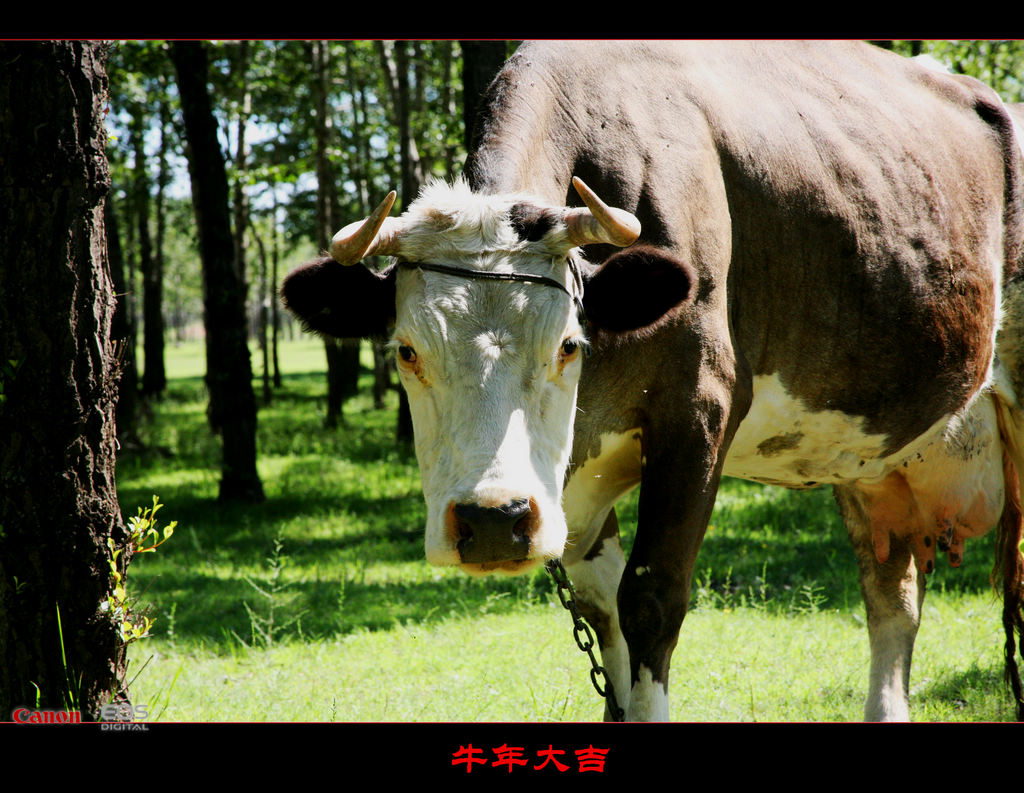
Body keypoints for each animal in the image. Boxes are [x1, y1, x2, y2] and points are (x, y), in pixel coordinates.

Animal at [280, 43, 1024, 725]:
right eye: (406, 351)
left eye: (569, 345)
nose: (494, 521)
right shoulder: (574, 479)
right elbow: (601, 608)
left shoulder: (698, 418)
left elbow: (650, 597)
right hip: (869, 456)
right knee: (891, 595)